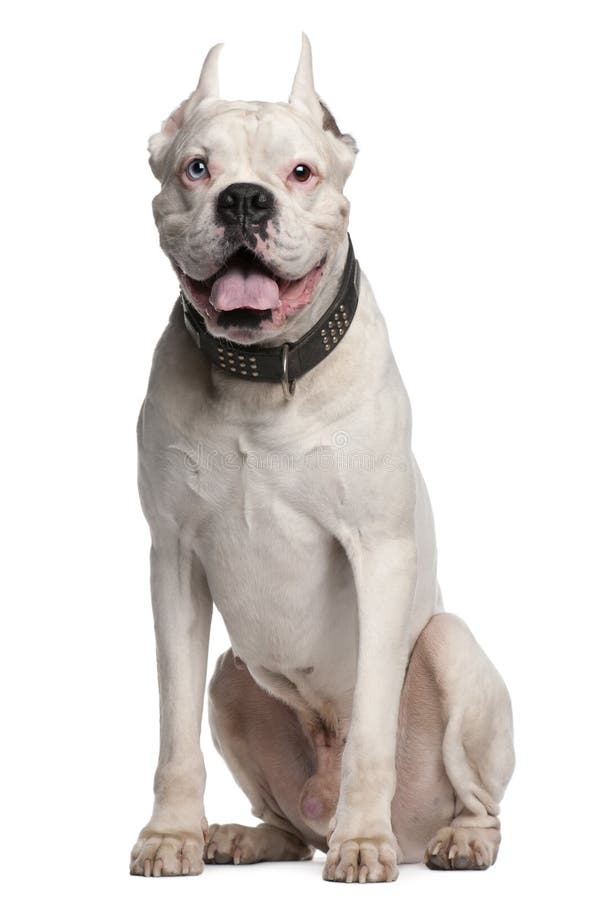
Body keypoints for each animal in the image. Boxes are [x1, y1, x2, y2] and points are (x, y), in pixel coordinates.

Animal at [132, 37, 516, 884]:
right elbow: (172, 728)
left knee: (480, 800)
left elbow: (372, 725)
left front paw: (363, 842)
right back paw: (245, 837)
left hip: (449, 648)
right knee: (285, 819)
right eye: (196, 168)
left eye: (301, 172)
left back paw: (453, 840)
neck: (261, 376)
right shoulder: (173, 559)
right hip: (231, 677)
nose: (245, 200)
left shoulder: (377, 553)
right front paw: (170, 835)